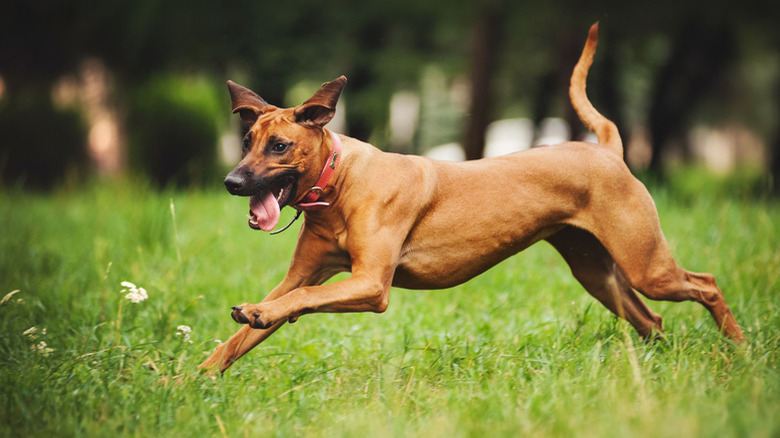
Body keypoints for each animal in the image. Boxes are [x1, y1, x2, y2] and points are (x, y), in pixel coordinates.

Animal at [197, 23, 744, 372]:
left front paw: (257, 316)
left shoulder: (370, 284)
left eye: (280, 146)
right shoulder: (302, 275)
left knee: (706, 284)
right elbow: (244, 334)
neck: (339, 184)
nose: (232, 182)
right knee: (652, 319)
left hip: (645, 263)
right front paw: (191, 382)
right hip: (598, 272)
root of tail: (607, 148)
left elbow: (302, 301)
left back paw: (739, 350)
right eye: (246, 143)